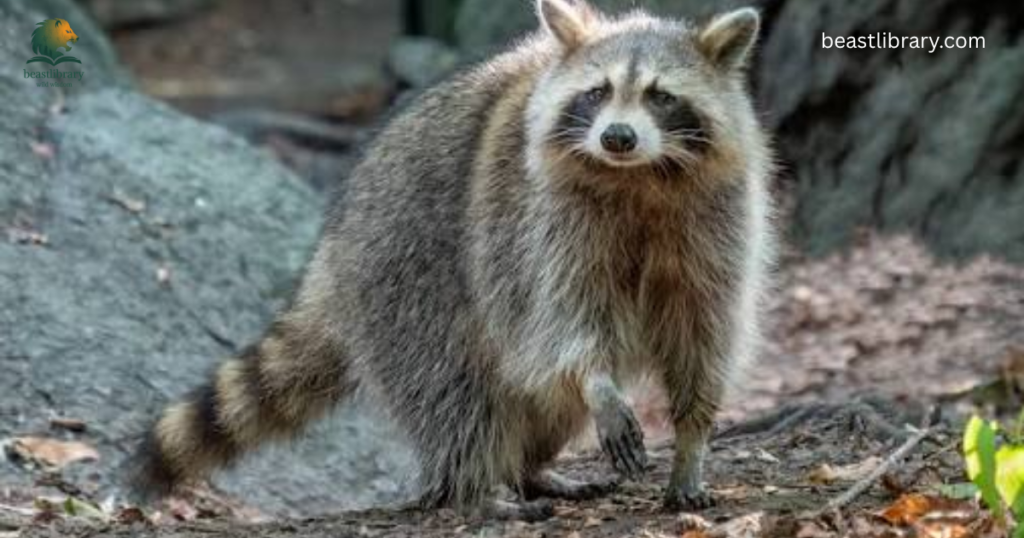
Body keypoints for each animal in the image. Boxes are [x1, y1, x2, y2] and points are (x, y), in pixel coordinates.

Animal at [138, 0, 774, 517]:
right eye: (597, 92)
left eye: (661, 96)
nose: (617, 136)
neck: (639, 177)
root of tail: (332, 253)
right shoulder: (538, 223)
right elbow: (563, 317)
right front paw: (599, 382)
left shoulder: (716, 222)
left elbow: (704, 330)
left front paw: (692, 440)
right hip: (406, 273)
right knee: (456, 388)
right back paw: (473, 487)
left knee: (540, 400)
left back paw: (531, 469)